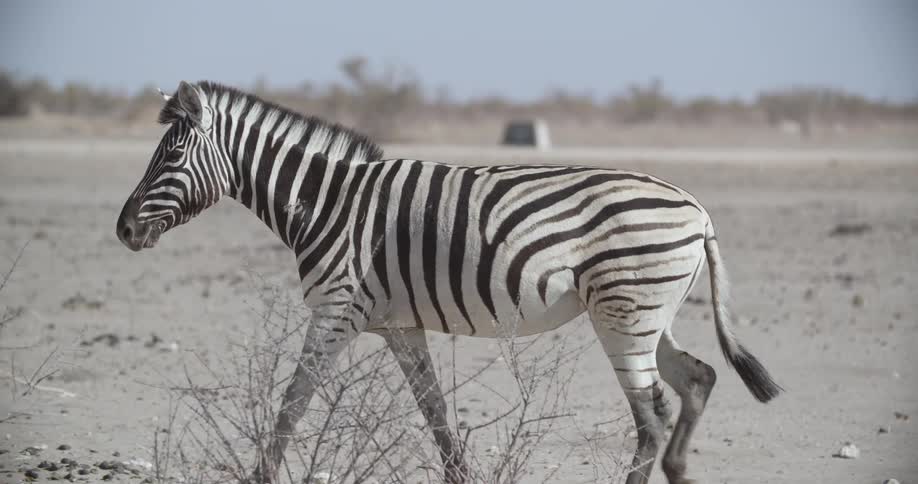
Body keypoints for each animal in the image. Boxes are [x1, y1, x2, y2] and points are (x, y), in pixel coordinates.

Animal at [116, 81, 781, 484]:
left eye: (169, 158)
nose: (122, 230)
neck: (328, 201)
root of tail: (698, 210)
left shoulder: (334, 311)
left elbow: (292, 401)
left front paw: (261, 474)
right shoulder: (398, 325)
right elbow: (434, 410)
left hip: (623, 314)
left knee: (652, 414)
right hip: (646, 317)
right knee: (697, 379)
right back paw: (680, 469)